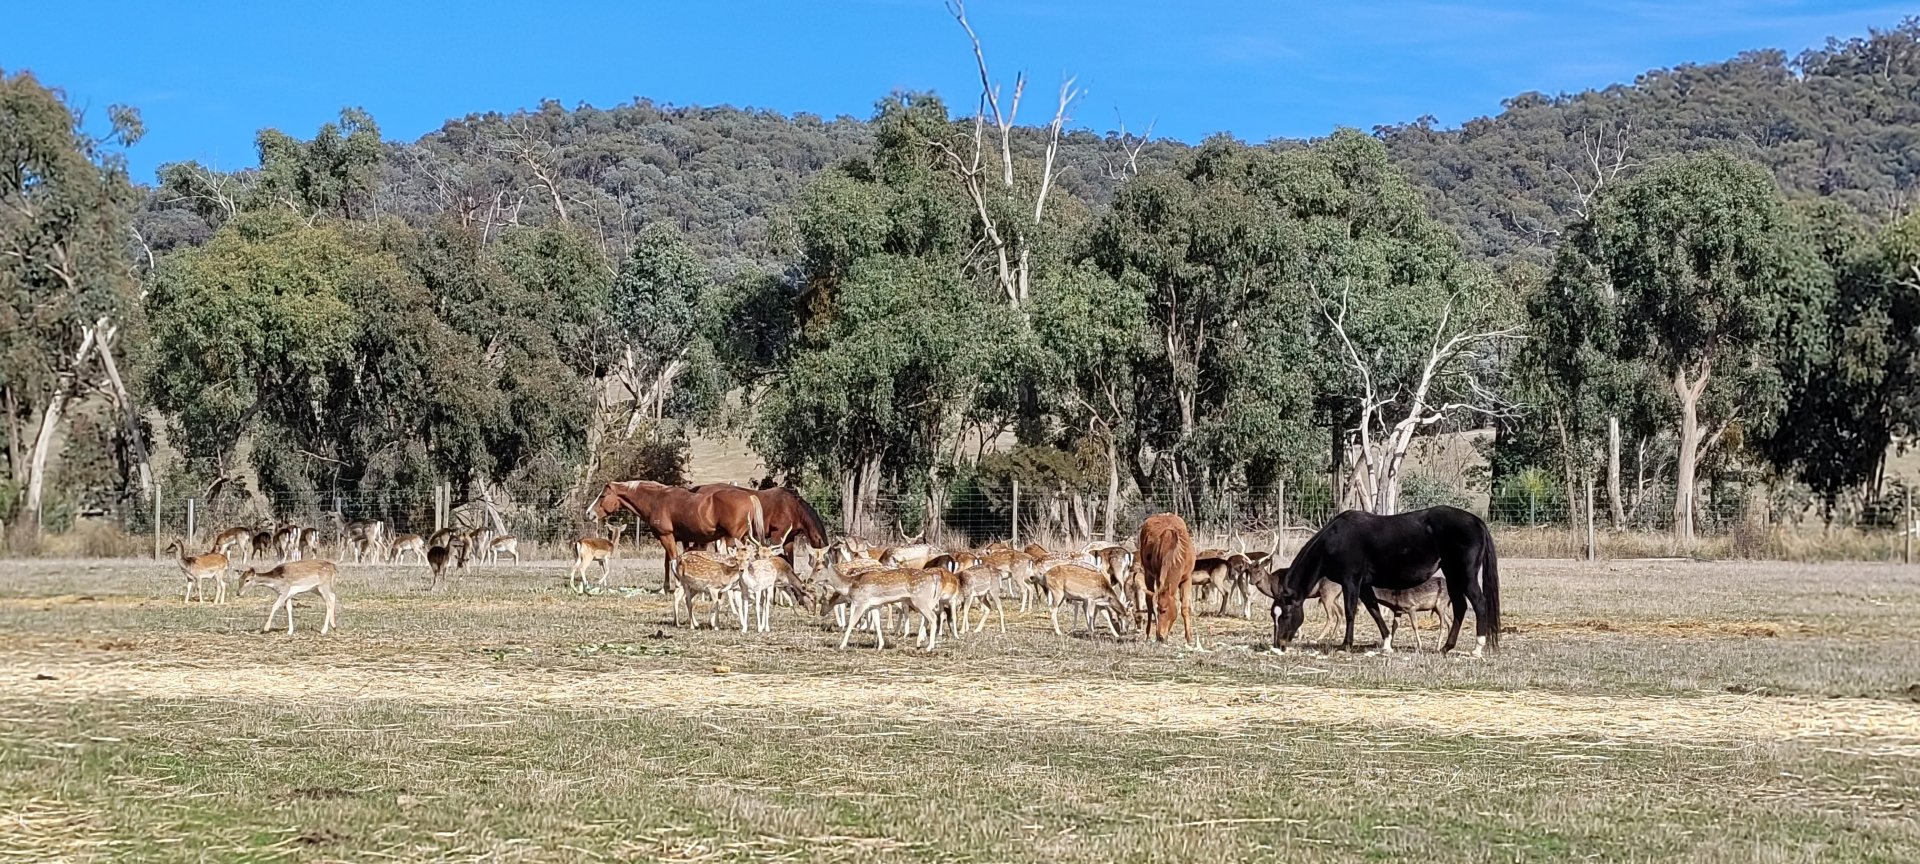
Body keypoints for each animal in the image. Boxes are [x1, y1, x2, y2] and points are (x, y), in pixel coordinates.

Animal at [589, 480, 765, 591]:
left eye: (602, 496)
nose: (589, 513)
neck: (656, 500)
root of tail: (749, 497)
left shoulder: (666, 536)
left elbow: (674, 561)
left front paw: (678, 585)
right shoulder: (671, 537)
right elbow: (667, 563)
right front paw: (665, 588)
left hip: (731, 539)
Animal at [1136, 512, 1197, 647]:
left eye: (1164, 610)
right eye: (1158, 609)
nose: (1160, 636)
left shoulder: (1187, 578)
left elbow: (1185, 607)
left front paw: (1189, 638)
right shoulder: (1158, 577)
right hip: (1148, 573)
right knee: (1148, 602)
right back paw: (1147, 635)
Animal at [1269, 505, 1501, 657]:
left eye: (1287, 614)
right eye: (1274, 615)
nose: (1279, 644)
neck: (1335, 539)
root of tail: (1478, 522)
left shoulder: (1351, 581)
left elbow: (1351, 612)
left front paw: (1346, 645)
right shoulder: (1364, 585)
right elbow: (1374, 610)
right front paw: (1387, 643)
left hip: (1465, 575)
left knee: (1479, 604)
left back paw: (1477, 648)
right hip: (1452, 575)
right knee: (1460, 607)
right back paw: (1446, 647)